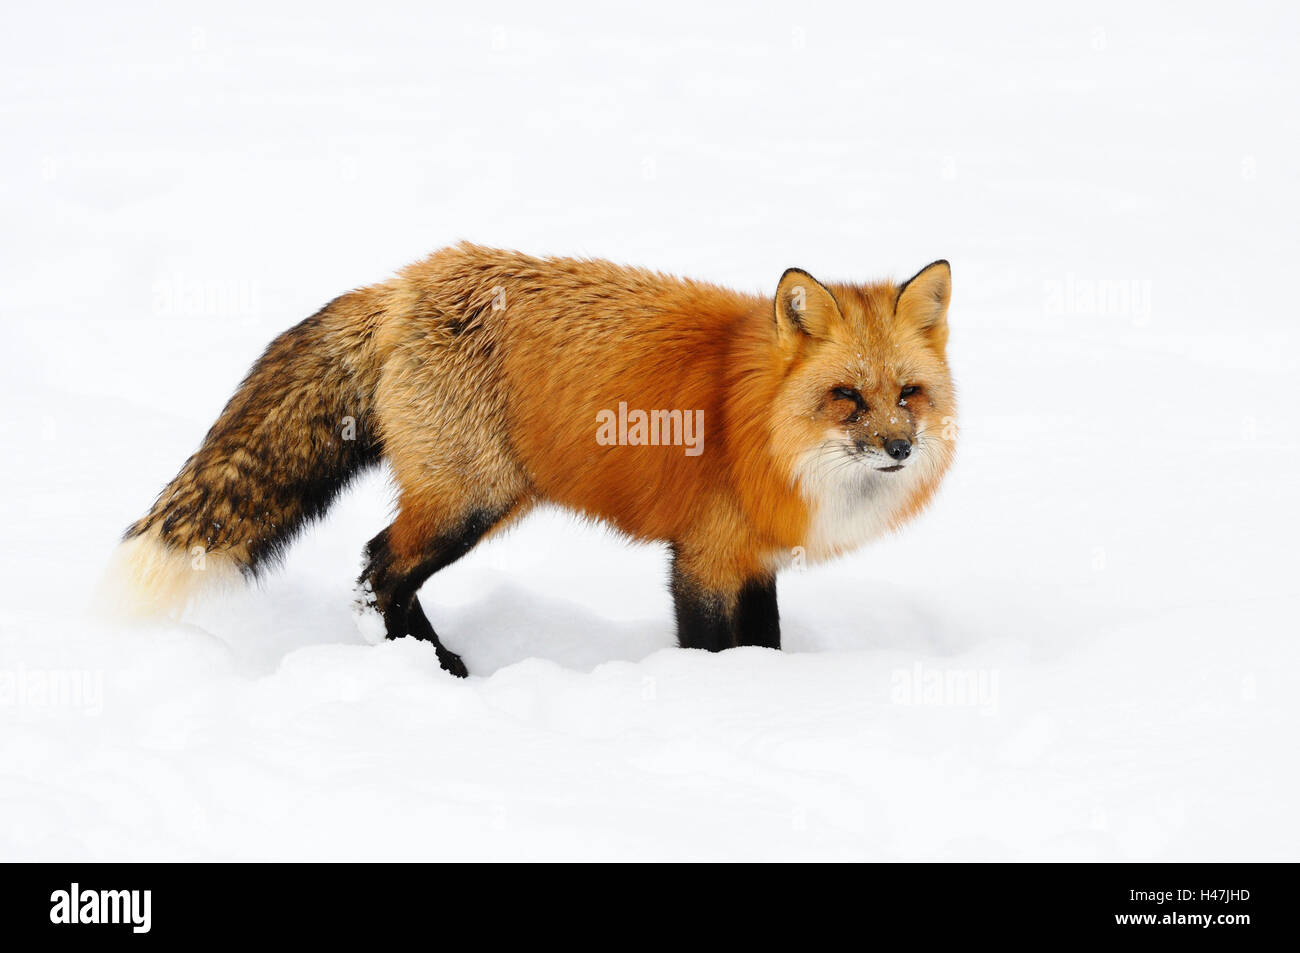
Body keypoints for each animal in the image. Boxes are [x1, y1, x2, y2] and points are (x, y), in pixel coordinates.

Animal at [111, 245, 961, 676]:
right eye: (847, 397)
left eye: (908, 394)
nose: (898, 447)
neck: (749, 417)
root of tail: (405, 283)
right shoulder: (705, 558)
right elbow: (715, 653)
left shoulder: (752, 562)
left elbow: (764, 649)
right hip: (470, 503)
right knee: (377, 568)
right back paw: (431, 669)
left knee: (382, 572)